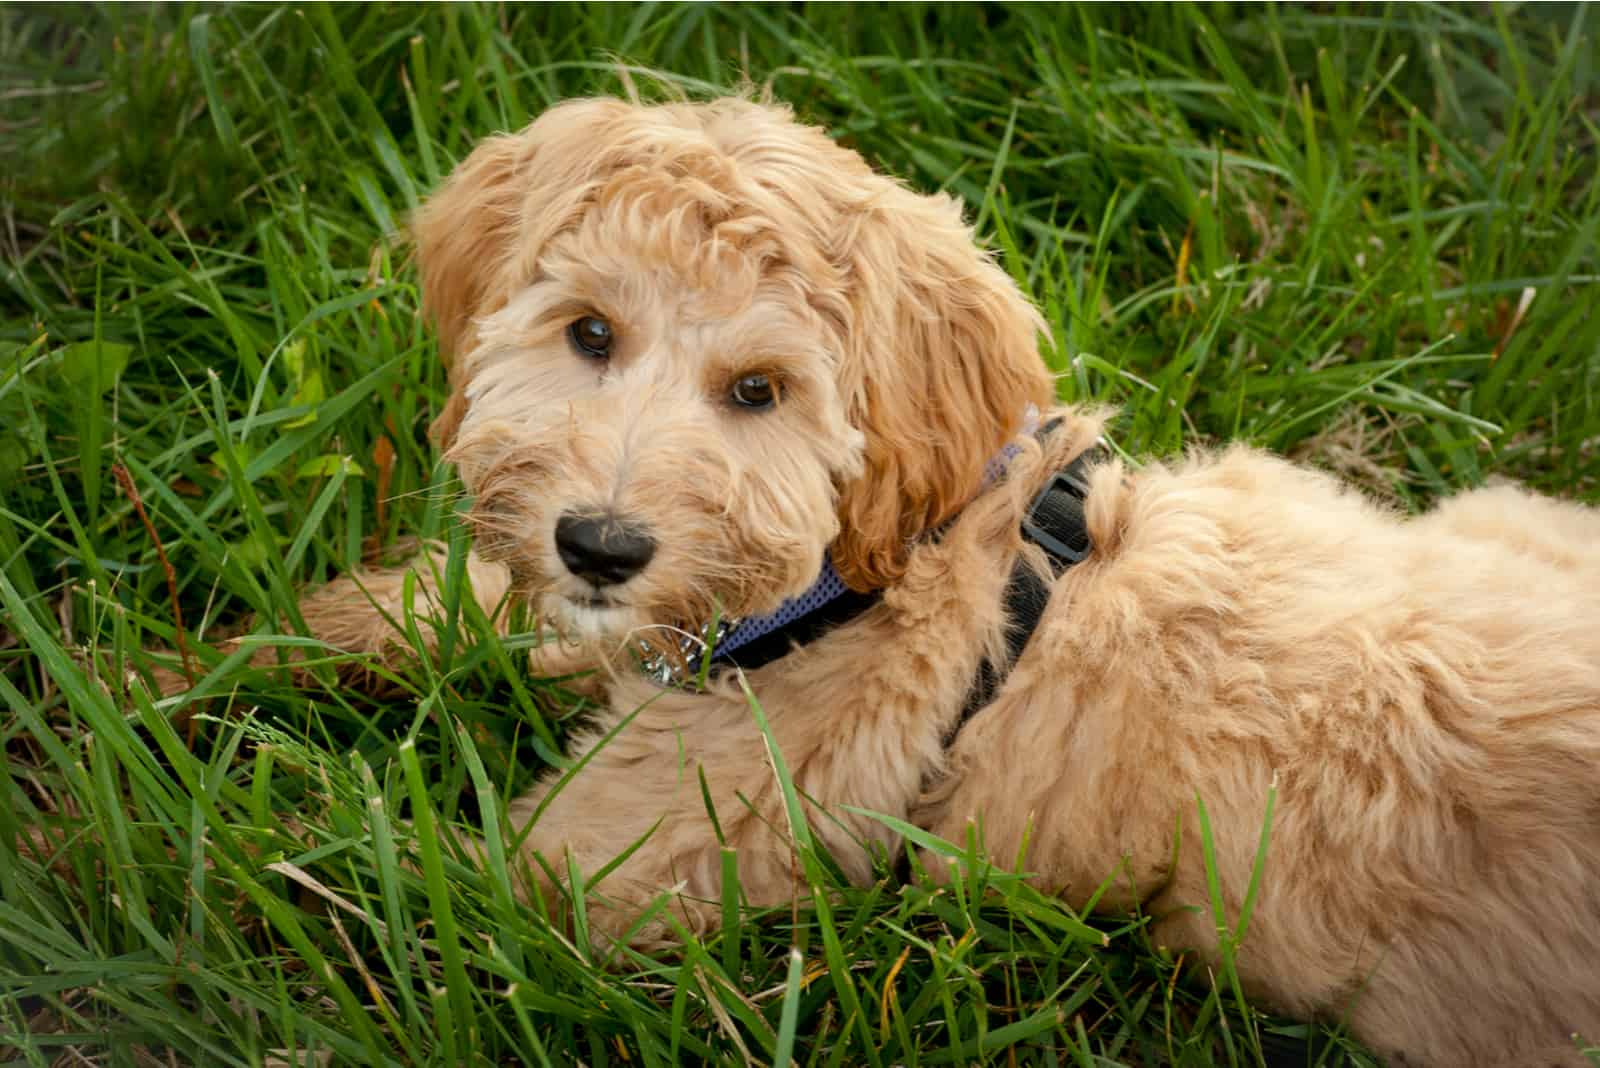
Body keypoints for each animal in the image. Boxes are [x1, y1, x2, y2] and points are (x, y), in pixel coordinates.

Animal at [294, 95, 1600, 1061]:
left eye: (759, 390)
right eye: (589, 333)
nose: (602, 546)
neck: (885, 570)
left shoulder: (623, 855)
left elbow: (416, 898)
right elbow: (493, 615)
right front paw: (314, 632)